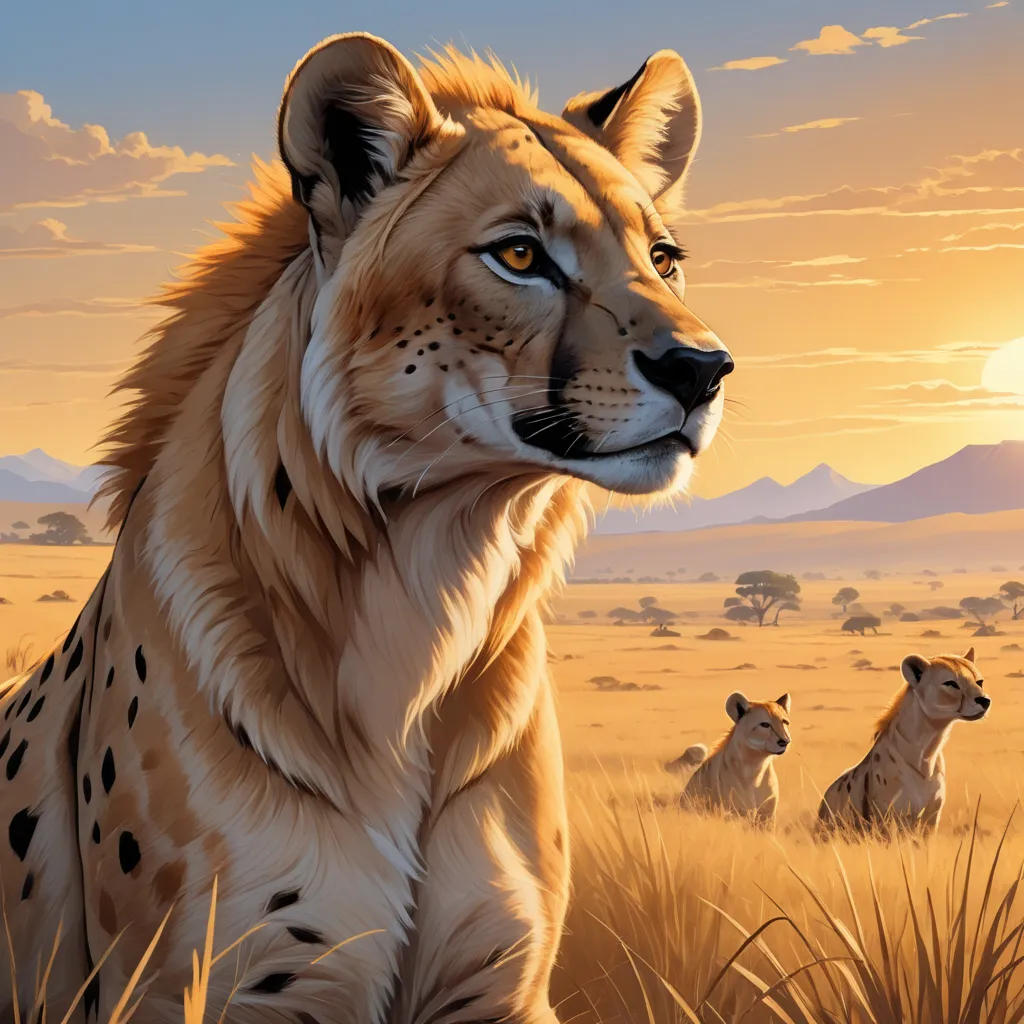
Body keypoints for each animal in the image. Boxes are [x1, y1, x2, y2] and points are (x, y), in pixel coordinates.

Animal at [0, 33, 732, 1022]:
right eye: (519, 254)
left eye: (662, 256)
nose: (702, 369)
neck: (431, 578)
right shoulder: (199, 993)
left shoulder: (498, 986)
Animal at [673, 692, 791, 828]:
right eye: (765, 724)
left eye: (785, 722)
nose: (785, 741)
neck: (756, 765)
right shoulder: (736, 813)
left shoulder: (767, 815)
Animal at [817, 648, 990, 837]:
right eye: (951, 683)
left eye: (979, 682)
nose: (984, 700)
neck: (926, 751)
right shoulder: (889, 819)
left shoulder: (931, 818)